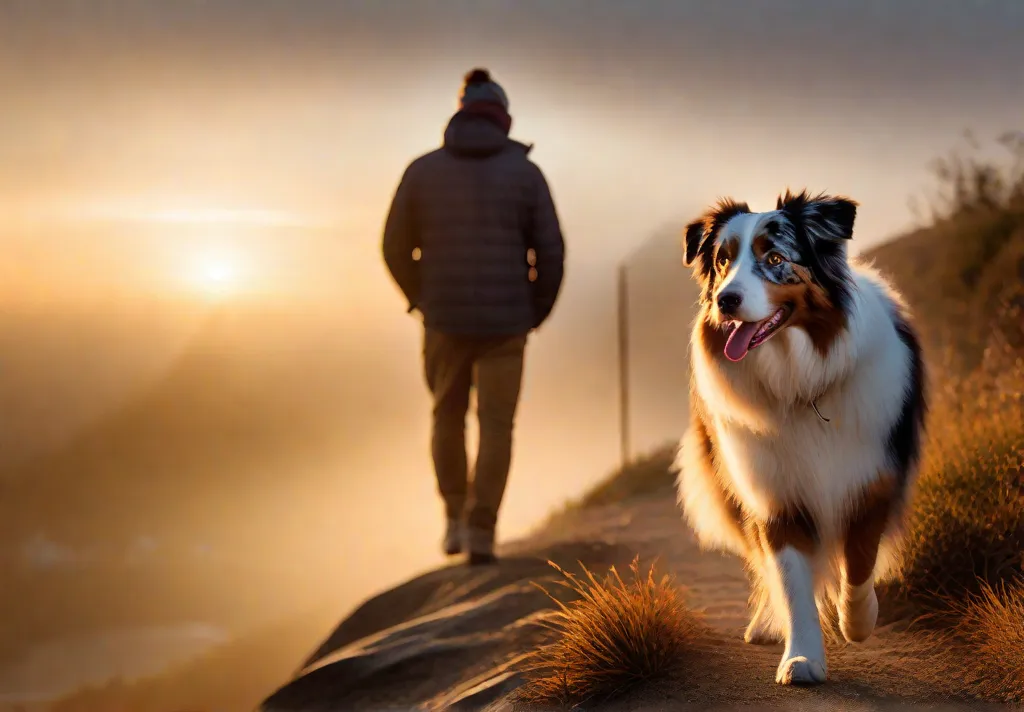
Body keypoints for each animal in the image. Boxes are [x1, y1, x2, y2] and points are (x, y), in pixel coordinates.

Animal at [675, 189, 925, 684]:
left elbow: (859, 561)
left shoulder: (871, 479)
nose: (726, 301)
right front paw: (802, 657)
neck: (799, 381)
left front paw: (858, 621)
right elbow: (792, 583)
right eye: (723, 261)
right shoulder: (776, 497)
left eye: (774, 258)